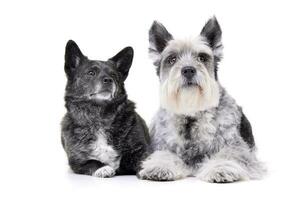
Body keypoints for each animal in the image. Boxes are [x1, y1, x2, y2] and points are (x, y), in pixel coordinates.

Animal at [61, 39, 150, 177]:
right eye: (91, 73)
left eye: (113, 75)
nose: (108, 80)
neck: (100, 116)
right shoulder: (77, 161)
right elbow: (92, 161)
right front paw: (103, 168)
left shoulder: (139, 150)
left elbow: (144, 160)